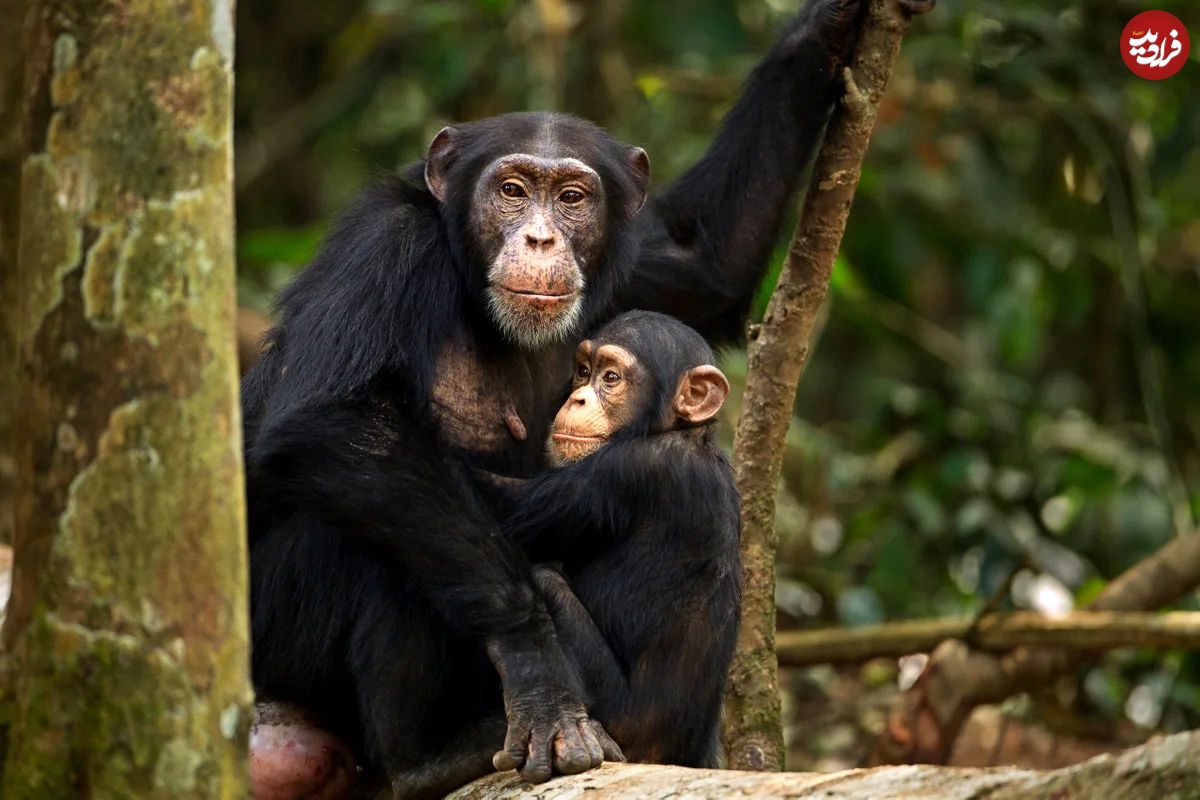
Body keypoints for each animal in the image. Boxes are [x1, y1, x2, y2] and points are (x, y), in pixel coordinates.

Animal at [489, 309, 734, 767]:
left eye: (612, 378)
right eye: (583, 372)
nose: (578, 398)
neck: (681, 433)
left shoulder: (628, 470)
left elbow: (507, 506)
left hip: (618, 714)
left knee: (545, 578)